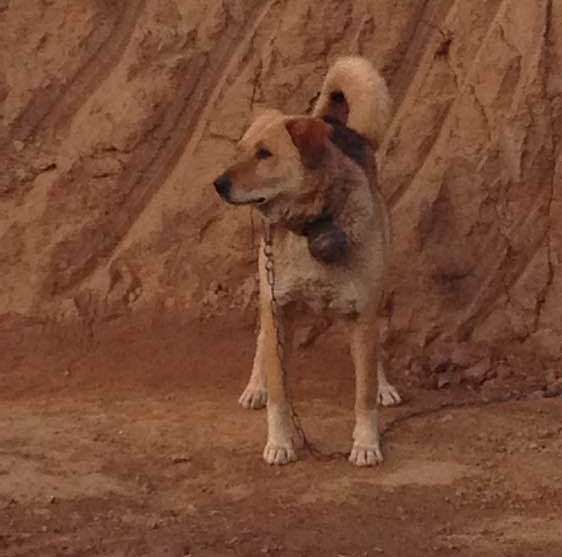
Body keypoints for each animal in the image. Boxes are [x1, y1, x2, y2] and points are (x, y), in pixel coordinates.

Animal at [211, 56, 398, 464]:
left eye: (265, 154)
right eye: (241, 150)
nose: (217, 184)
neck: (312, 226)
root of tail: (332, 123)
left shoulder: (362, 312)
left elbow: (363, 394)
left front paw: (366, 444)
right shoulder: (278, 308)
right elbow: (281, 394)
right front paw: (280, 443)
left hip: (378, 293)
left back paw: (384, 385)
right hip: (267, 293)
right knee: (261, 341)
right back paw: (256, 386)